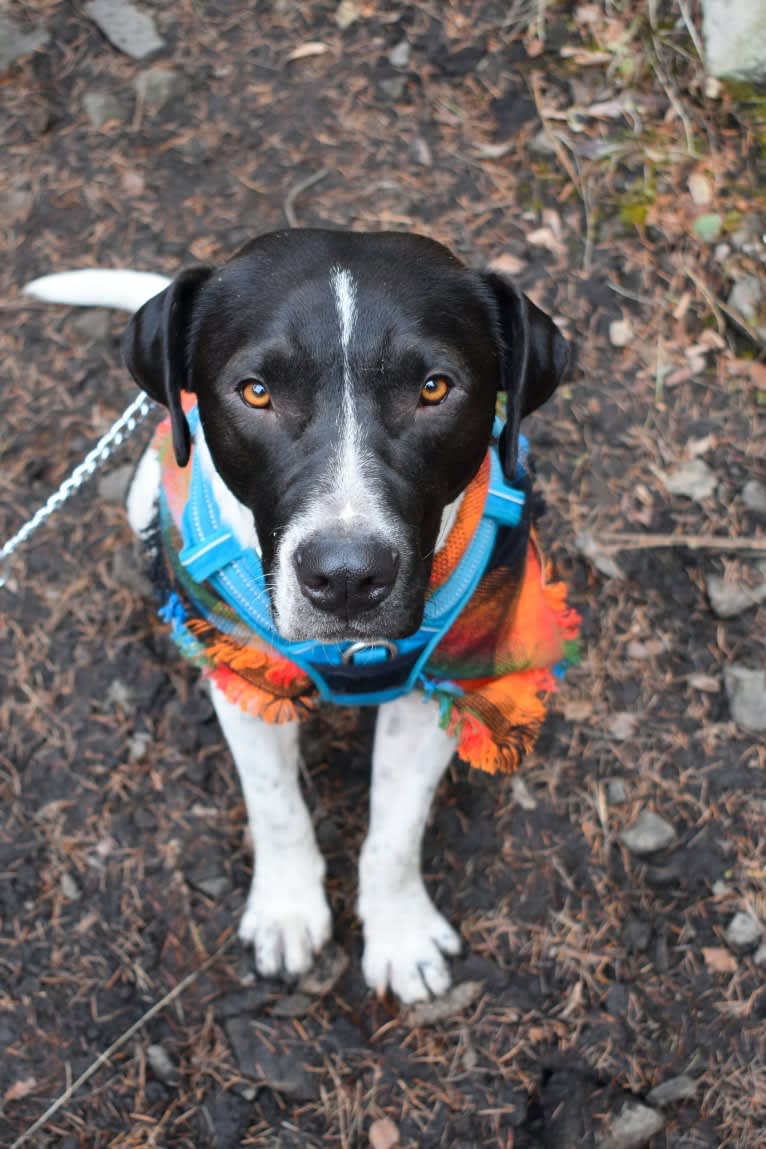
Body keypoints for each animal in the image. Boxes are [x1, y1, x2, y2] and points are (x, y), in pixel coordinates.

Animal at [23, 228, 578, 1001]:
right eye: (256, 392)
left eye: (434, 388)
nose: (346, 578)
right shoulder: (246, 681)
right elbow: (276, 803)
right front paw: (287, 910)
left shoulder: (438, 688)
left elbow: (395, 829)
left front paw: (399, 933)